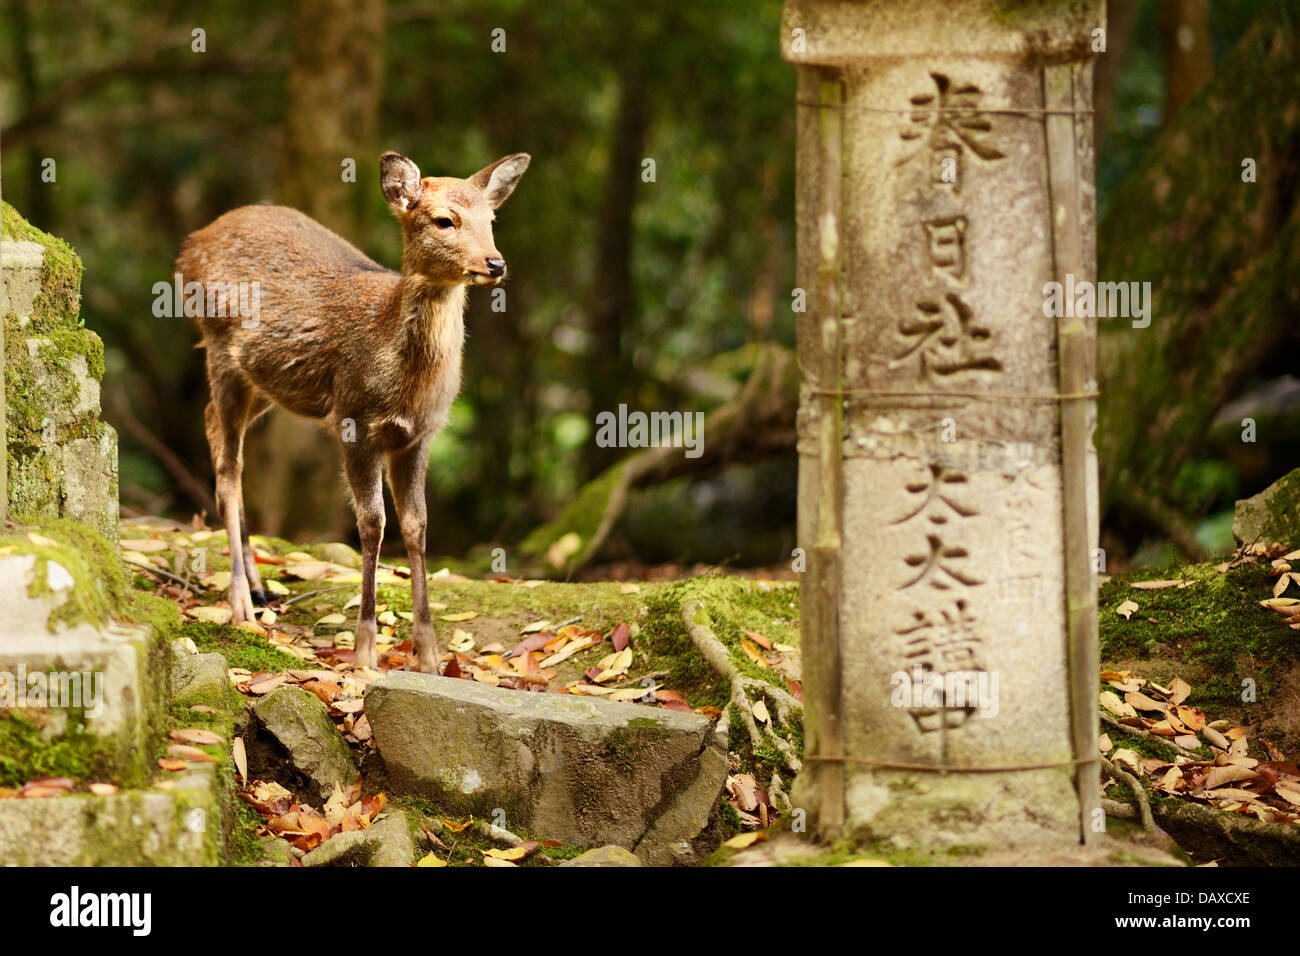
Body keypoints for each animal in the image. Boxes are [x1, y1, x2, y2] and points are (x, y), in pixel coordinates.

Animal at [180, 151, 530, 671]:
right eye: (444, 220)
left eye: (491, 221)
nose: (495, 263)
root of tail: (191, 244)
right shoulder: (354, 419)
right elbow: (372, 523)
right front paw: (365, 652)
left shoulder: (420, 435)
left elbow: (417, 525)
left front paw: (429, 654)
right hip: (220, 349)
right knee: (229, 467)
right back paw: (241, 601)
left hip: (267, 382)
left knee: (209, 425)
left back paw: (261, 588)